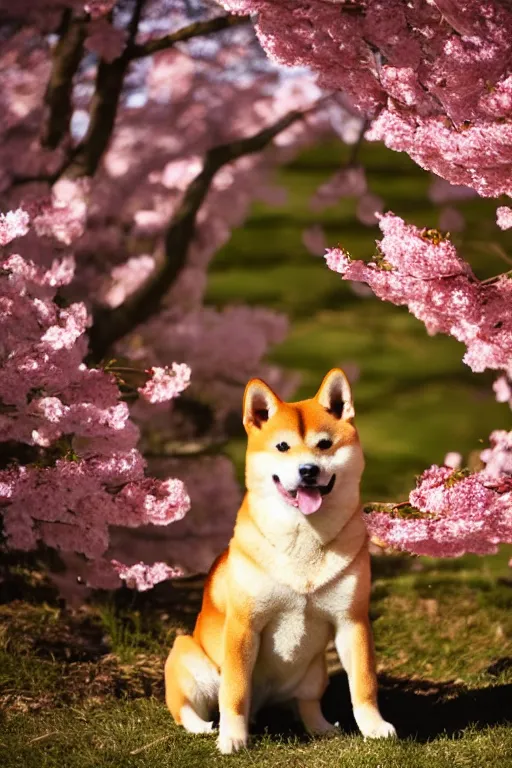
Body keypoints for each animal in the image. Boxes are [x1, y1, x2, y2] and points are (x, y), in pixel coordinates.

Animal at [164, 368, 396, 752]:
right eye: (283, 447)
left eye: (324, 444)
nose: (308, 470)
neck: (305, 539)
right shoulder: (244, 625)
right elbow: (235, 691)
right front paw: (233, 736)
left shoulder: (352, 621)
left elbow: (363, 684)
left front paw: (374, 727)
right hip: (188, 656)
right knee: (187, 708)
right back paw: (204, 727)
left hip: (315, 672)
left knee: (307, 703)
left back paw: (322, 727)